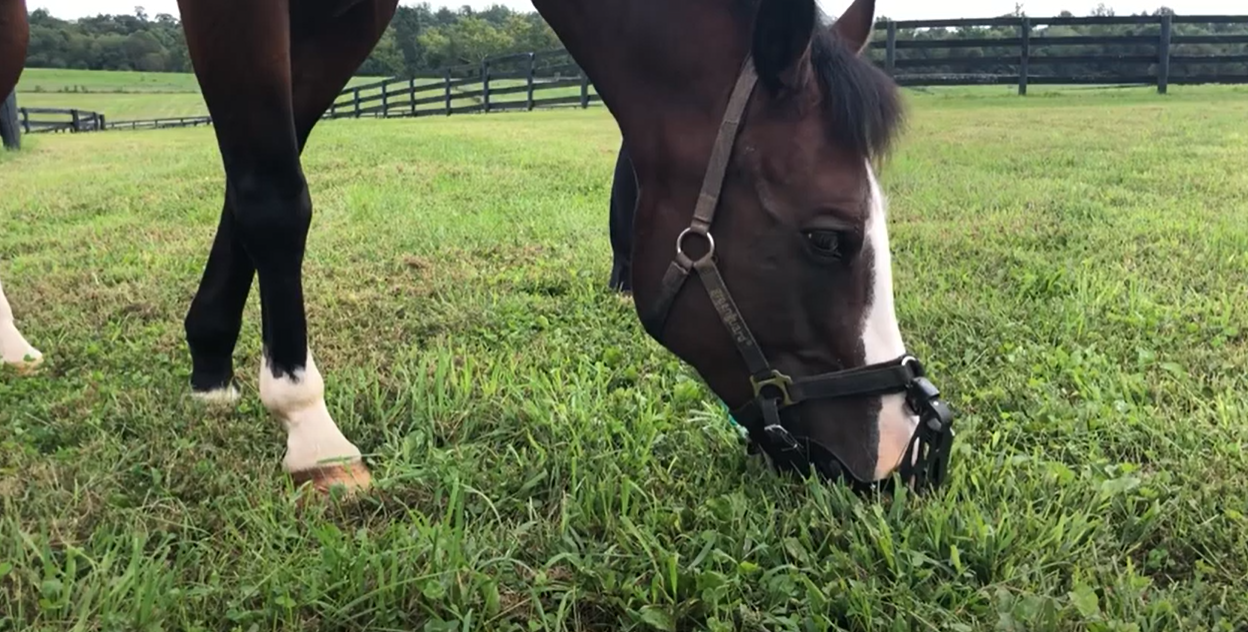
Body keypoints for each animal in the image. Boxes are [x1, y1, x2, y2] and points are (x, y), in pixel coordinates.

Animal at [2, 0, 953, 497]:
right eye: (830, 238)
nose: (907, 448)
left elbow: (267, 161)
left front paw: (210, 363)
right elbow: (274, 194)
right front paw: (308, 425)